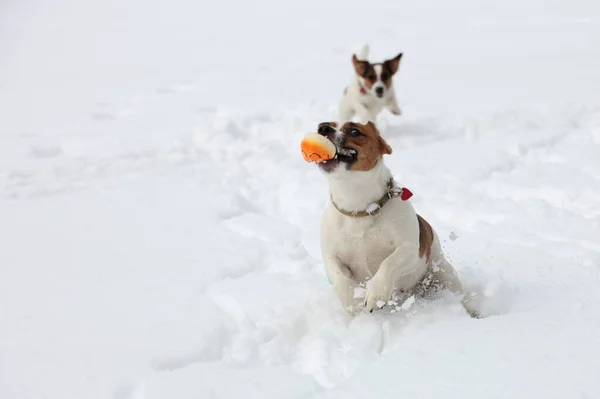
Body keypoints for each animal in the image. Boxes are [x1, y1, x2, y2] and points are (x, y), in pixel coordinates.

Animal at [312, 120, 476, 318]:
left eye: (355, 131)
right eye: (323, 124)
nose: (323, 128)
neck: (360, 208)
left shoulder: (410, 250)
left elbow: (389, 262)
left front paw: (377, 294)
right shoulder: (331, 256)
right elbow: (339, 277)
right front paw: (353, 303)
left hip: (445, 274)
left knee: (460, 294)